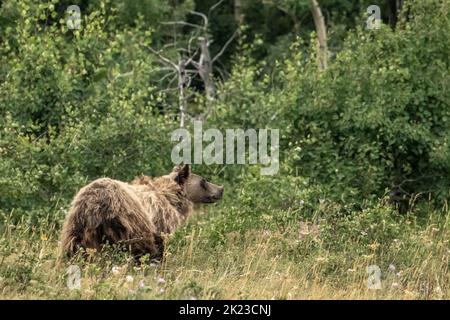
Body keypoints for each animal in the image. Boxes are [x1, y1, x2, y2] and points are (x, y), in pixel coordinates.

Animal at [59, 165, 224, 260]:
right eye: (204, 180)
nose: (220, 189)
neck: (170, 197)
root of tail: (94, 203)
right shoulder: (160, 221)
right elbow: (159, 246)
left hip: (77, 225)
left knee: (74, 248)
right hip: (127, 222)